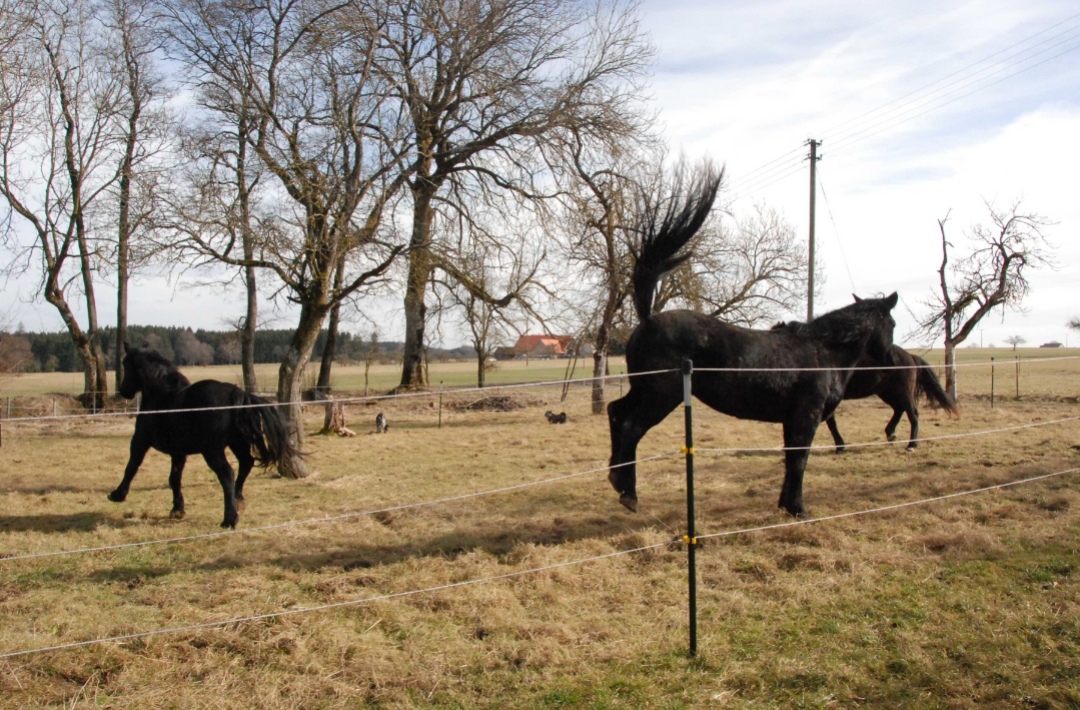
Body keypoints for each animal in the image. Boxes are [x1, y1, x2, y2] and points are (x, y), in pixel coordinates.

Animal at [109, 344, 297, 528]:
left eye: (125, 364)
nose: (124, 391)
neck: (162, 396)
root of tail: (237, 394)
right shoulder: (178, 452)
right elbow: (174, 478)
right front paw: (177, 509)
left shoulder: (140, 441)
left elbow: (132, 467)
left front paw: (117, 494)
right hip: (237, 443)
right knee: (246, 464)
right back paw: (238, 501)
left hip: (212, 451)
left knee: (227, 474)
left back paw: (229, 519)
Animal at [607, 164, 898, 518]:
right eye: (892, 323)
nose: (892, 358)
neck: (825, 351)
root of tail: (649, 318)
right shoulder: (807, 416)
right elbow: (799, 459)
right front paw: (798, 508)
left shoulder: (792, 419)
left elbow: (790, 458)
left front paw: (786, 505)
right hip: (661, 395)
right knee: (632, 426)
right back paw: (628, 492)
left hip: (644, 390)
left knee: (615, 411)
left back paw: (616, 478)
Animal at [823, 344, 958, 452]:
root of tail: (909, 355)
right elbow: (831, 422)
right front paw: (840, 446)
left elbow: (831, 422)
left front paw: (840, 446)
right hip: (887, 392)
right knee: (899, 409)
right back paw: (891, 434)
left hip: (903, 393)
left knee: (912, 414)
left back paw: (911, 444)